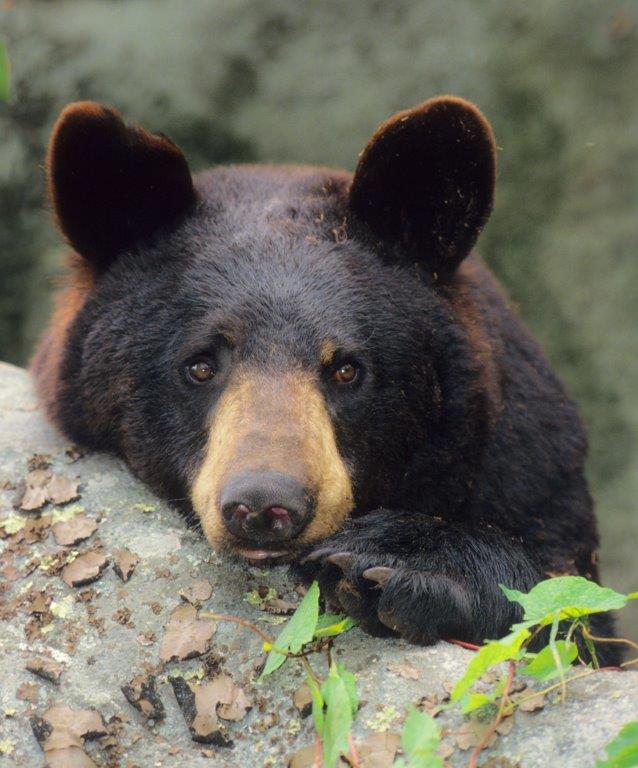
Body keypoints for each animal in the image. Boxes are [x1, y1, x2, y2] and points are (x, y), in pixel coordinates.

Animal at [32, 96, 617, 658]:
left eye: (346, 368)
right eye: (199, 365)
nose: (264, 504)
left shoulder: (530, 466)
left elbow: (573, 605)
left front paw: (397, 561)